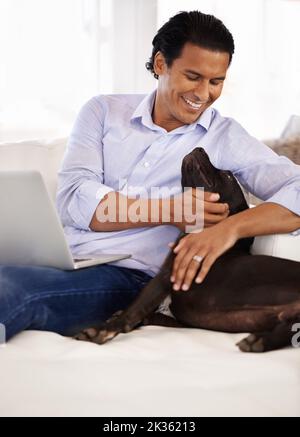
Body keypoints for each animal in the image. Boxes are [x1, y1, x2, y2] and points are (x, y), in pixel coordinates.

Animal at [74, 146, 300, 350]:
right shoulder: (183, 321)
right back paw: (260, 340)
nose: (200, 148)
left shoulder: (164, 277)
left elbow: (134, 309)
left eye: (227, 175)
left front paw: (104, 329)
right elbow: (151, 315)